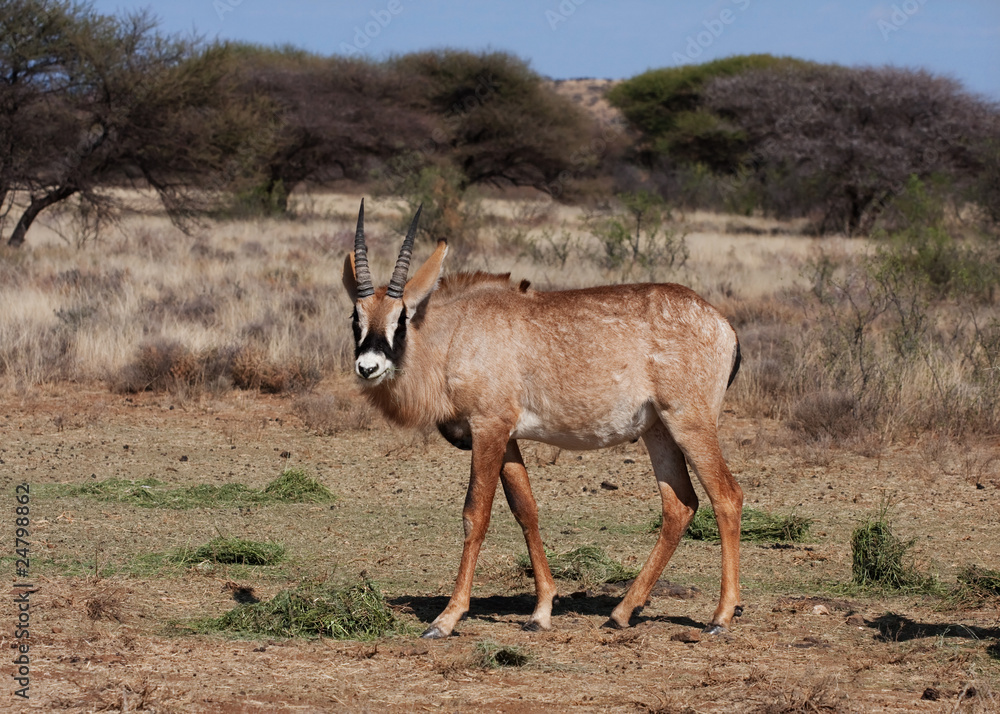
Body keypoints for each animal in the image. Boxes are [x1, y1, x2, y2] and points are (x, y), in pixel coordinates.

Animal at [343, 200, 743, 639]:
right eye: (355, 318)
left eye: (400, 317)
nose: (368, 366)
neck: (456, 331)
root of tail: (722, 324)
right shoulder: (507, 438)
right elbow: (526, 509)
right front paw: (541, 611)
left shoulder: (488, 427)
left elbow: (475, 514)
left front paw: (447, 617)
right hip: (658, 431)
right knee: (680, 505)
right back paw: (622, 611)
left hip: (690, 424)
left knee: (727, 496)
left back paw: (721, 616)